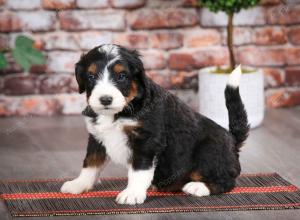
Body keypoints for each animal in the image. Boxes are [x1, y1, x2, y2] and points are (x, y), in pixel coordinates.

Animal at [60, 43, 248, 205]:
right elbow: (90, 164)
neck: (120, 112)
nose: (105, 99)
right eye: (91, 76)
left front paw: (132, 193)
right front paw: (78, 184)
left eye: (122, 76)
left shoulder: (146, 140)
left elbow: (138, 170)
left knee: (227, 182)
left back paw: (197, 187)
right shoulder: (97, 137)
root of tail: (232, 140)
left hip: (208, 150)